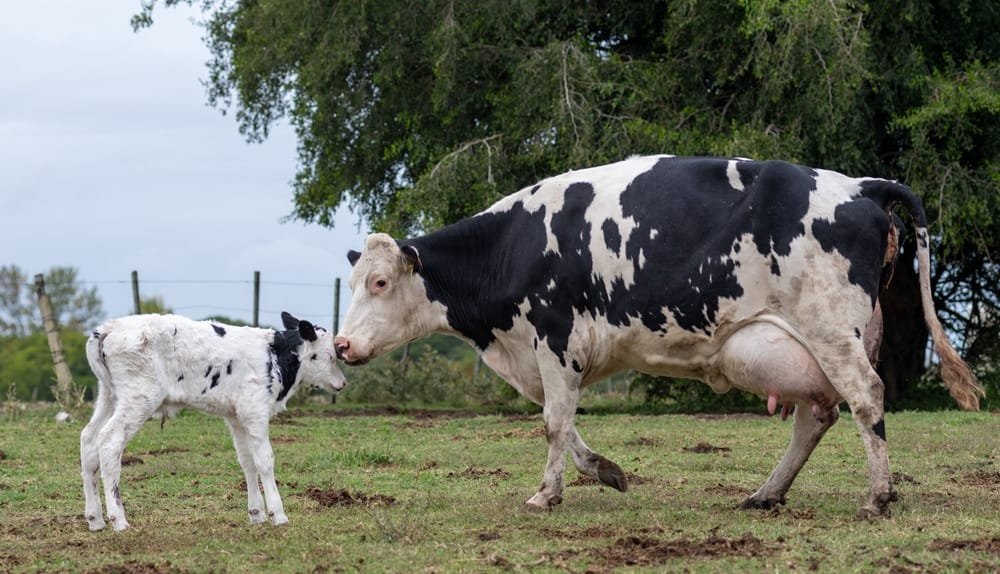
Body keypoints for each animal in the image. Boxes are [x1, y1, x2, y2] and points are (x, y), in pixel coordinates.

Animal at [81, 312, 346, 531]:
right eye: (331, 356)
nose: (343, 383)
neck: (275, 357)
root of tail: (109, 327)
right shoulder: (256, 412)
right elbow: (264, 461)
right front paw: (278, 514)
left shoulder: (237, 417)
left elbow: (247, 461)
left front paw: (256, 513)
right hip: (139, 399)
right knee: (109, 441)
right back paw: (118, 519)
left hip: (108, 396)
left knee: (89, 440)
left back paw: (95, 518)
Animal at [334, 155, 983, 518]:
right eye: (355, 282)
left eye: (381, 282)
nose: (340, 345)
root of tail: (861, 186)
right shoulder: (545, 354)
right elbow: (563, 423)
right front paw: (605, 472)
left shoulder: (555, 337)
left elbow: (553, 422)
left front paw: (546, 495)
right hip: (812, 343)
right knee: (817, 416)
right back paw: (767, 494)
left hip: (830, 331)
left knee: (867, 398)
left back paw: (877, 497)